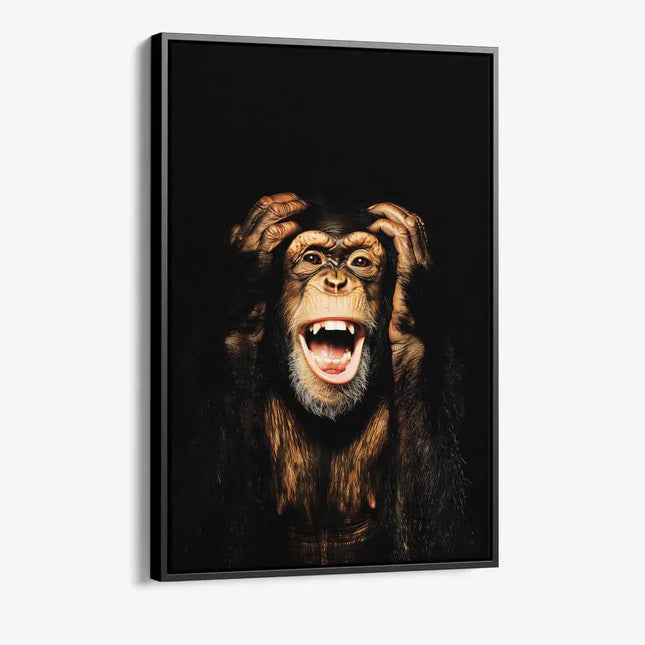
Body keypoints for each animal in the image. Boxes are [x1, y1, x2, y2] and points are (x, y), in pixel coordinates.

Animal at [185, 192, 470, 570]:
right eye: (312, 259)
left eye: (360, 262)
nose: (336, 281)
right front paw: (249, 269)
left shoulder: (446, 363)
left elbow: (438, 538)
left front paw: (411, 280)